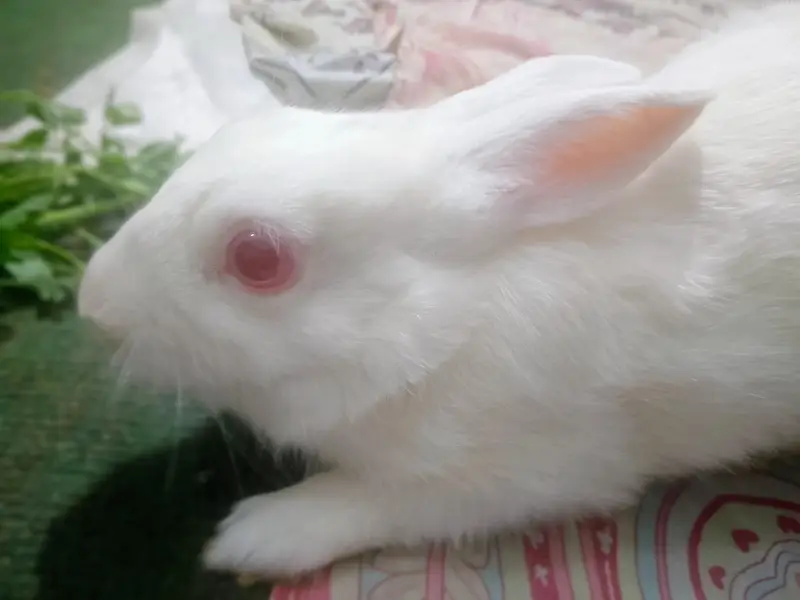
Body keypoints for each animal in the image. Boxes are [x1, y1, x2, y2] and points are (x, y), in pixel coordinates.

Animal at [78, 2, 800, 578]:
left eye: (258, 257)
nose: (94, 303)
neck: (447, 321)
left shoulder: (538, 469)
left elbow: (379, 500)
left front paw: (252, 537)